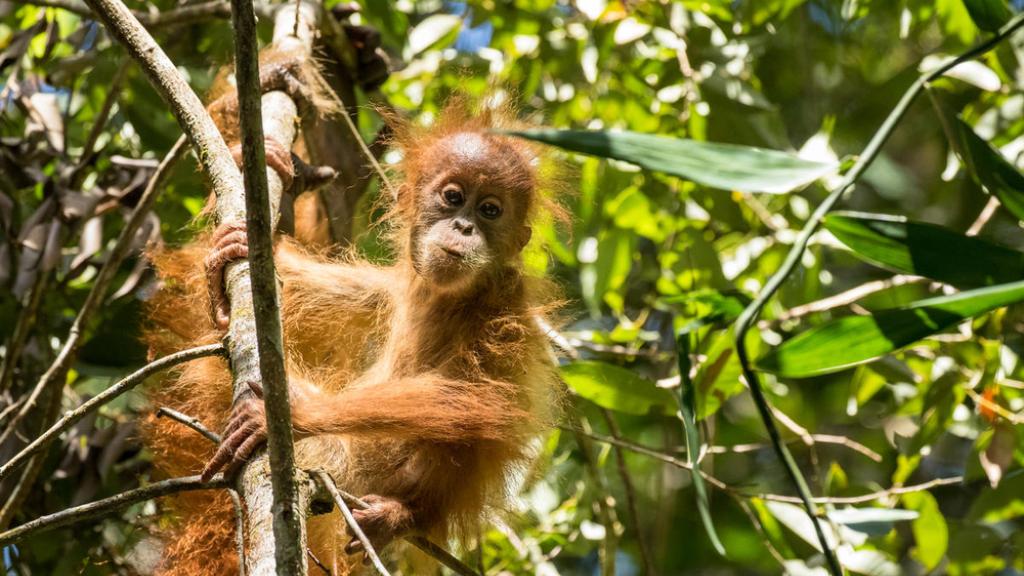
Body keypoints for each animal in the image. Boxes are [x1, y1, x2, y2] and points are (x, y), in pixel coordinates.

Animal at [143, 81, 564, 574]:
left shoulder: (506, 303)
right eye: (454, 198)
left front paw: (298, 410)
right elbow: (333, 291)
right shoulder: (398, 286)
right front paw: (237, 237)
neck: (446, 296)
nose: (464, 227)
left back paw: (400, 514)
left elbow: (481, 400)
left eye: (491, 210)